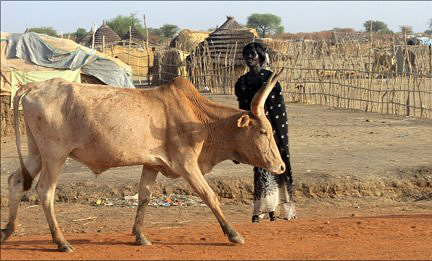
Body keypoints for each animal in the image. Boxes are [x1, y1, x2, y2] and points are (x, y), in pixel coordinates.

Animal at [0, 68, 286, 250]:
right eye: (264, 131)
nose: (281, 166)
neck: (202, 121)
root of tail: (33, 86)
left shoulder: (152, 164)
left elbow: (144, 197)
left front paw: (139, 236)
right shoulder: (187, 164)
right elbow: (210, 196)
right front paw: (234, 235)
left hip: (37, 153)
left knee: (16, 181)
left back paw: (8, 231)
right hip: (55, 155)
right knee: (45, 191)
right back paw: (61, 242)